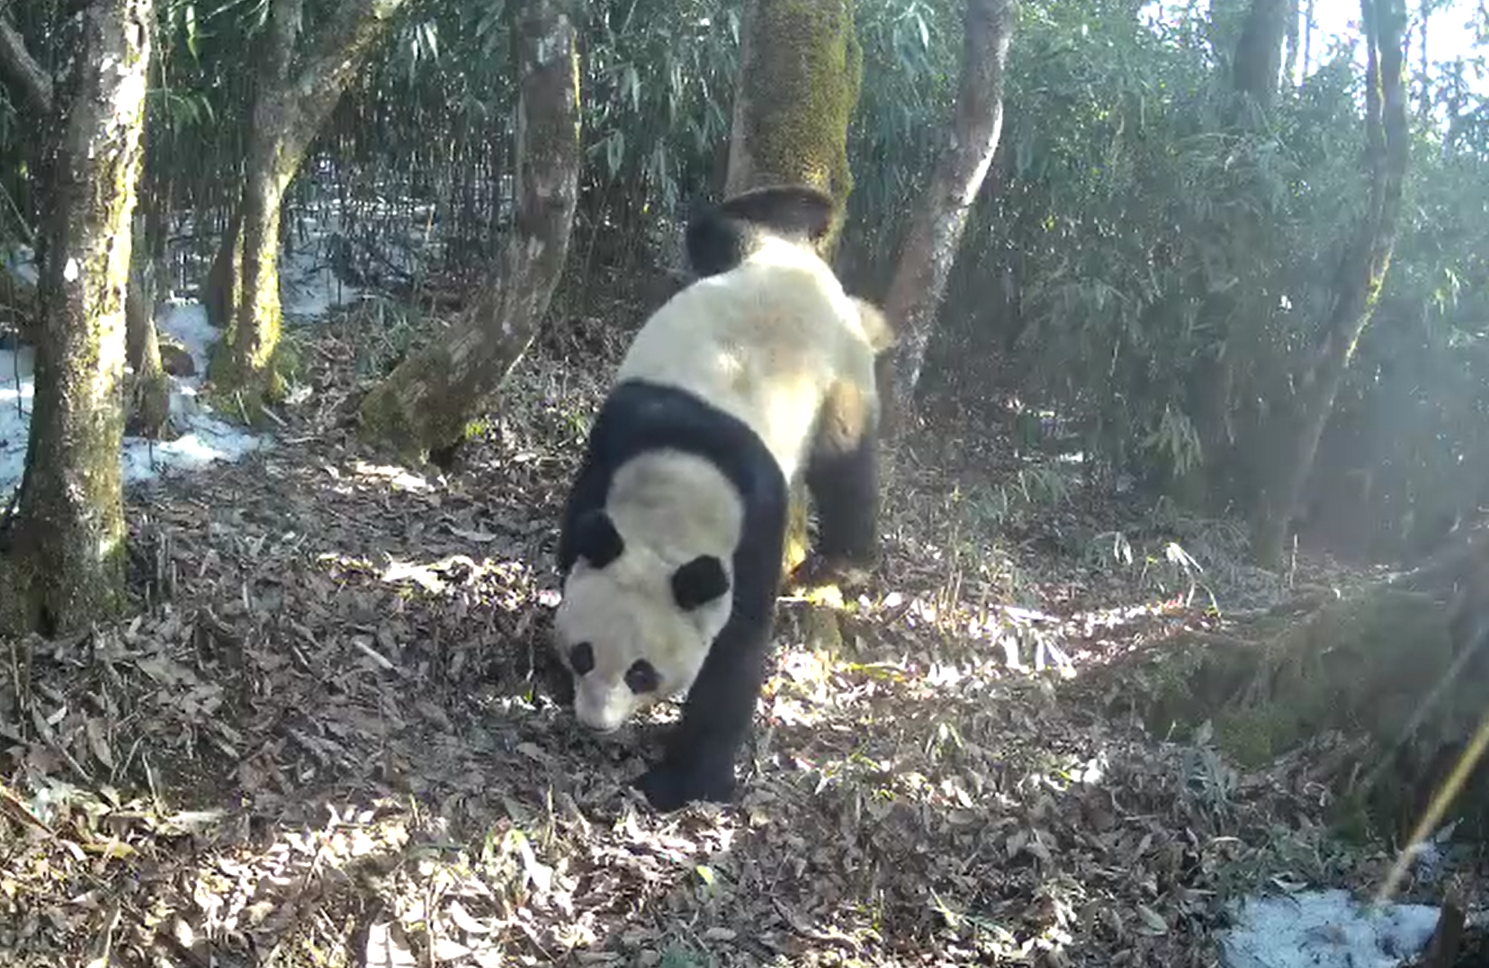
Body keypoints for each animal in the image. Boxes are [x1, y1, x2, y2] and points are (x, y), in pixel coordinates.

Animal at [550, 180, 887, 804]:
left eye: (642, 672)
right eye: (584, 654)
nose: (596, 723)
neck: (682, 483)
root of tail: (802, 266)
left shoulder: (756, 517)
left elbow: (737, 647)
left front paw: (684, 781)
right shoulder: (613, 443)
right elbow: (577, 537)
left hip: (841, 373)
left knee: (846, 464)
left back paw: (844, 561)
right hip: (739, 253)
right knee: (720, 226)